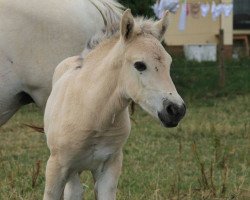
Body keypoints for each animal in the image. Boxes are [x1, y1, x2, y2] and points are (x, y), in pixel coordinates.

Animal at [43, 9, 186, 200]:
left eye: (169, 63)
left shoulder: (110, 168)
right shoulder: (56, 168)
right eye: (140, 65)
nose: (176, 110)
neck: (92, 113)